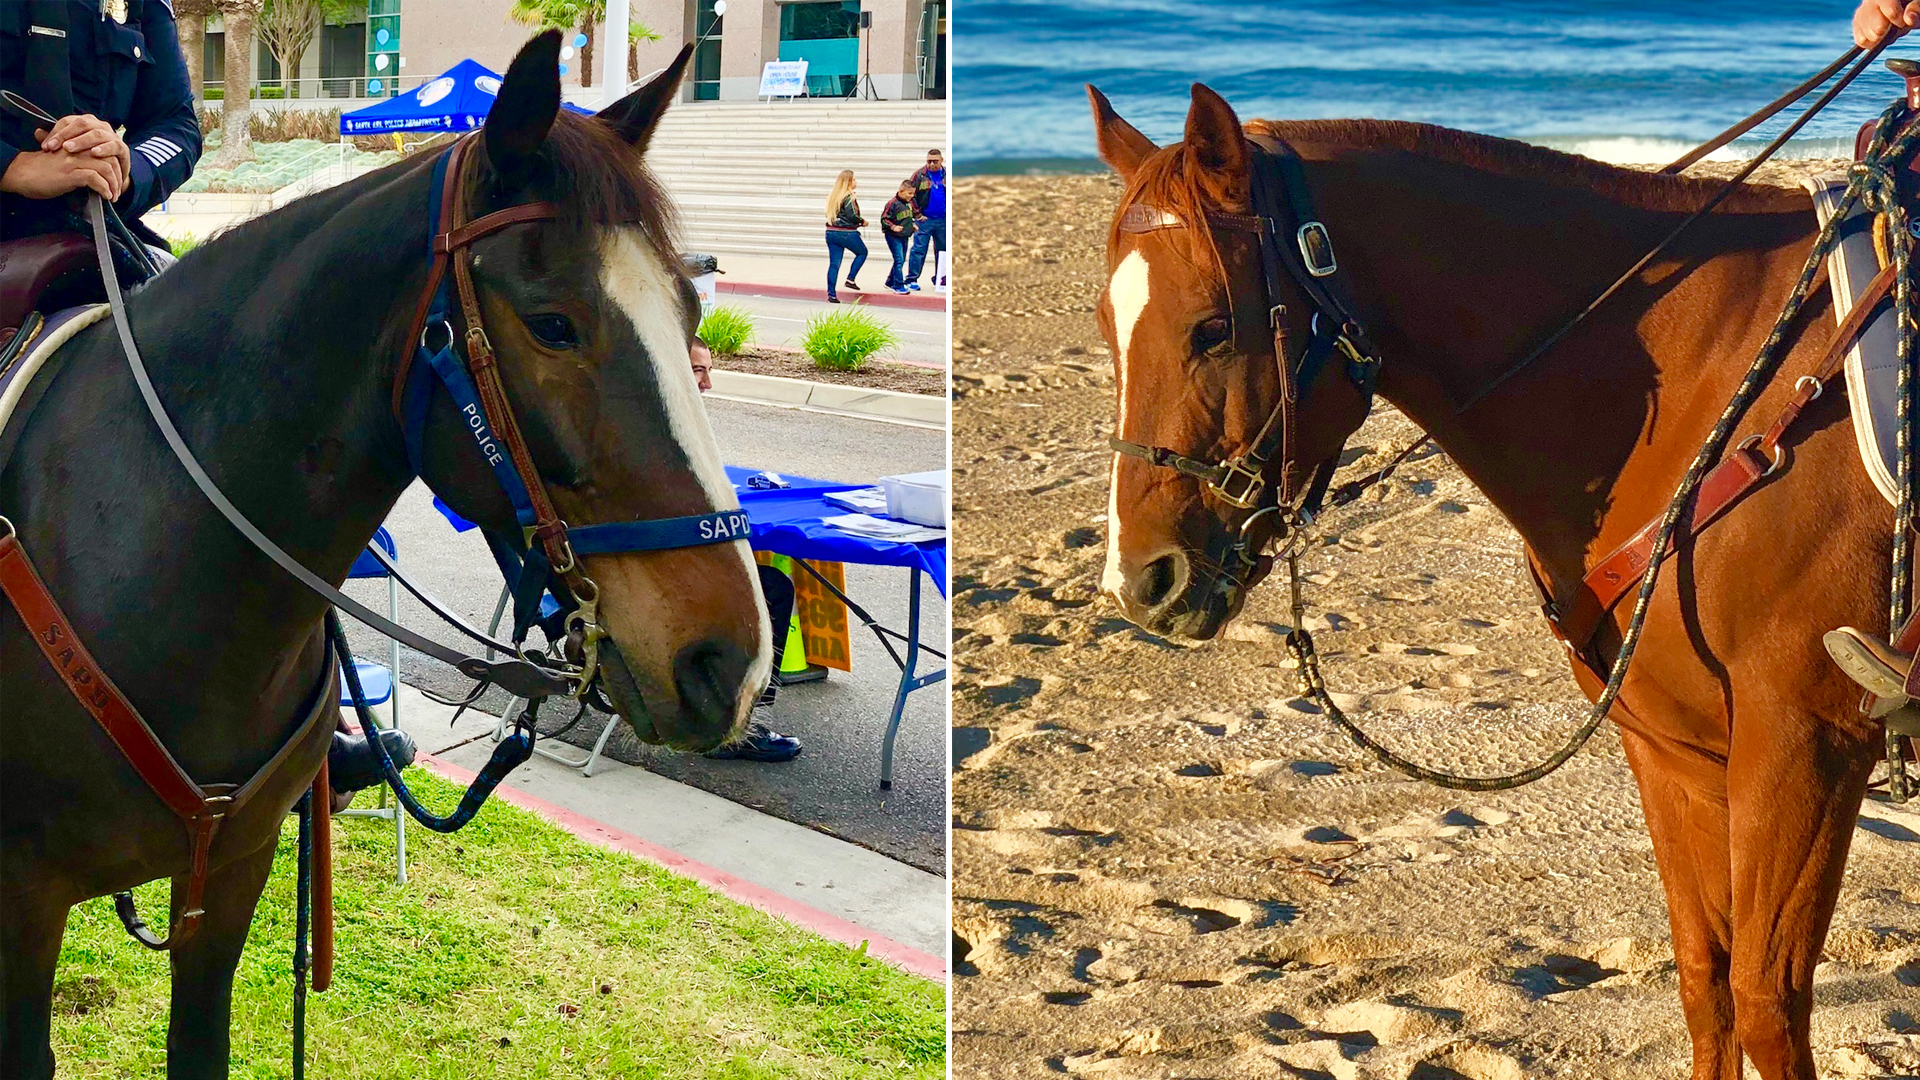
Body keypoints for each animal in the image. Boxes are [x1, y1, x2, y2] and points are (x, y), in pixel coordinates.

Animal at [1090, 84, 1896, 1076]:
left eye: (1214, 327)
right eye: (1105, 325)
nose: (1141, 582)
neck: (1721, 379)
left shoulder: (1805, 746)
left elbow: (1765, 1002)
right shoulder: (1678, 752)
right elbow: (1708, 984)